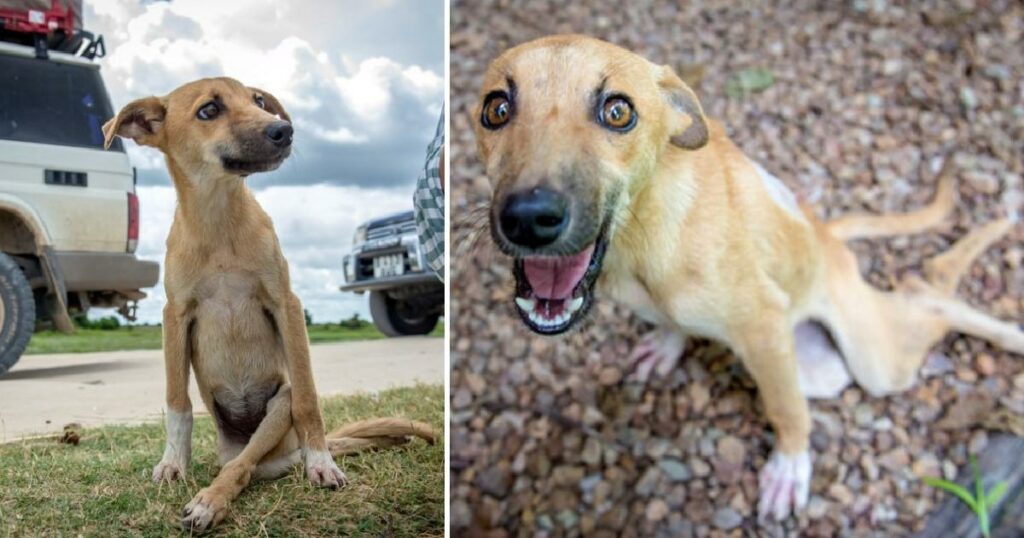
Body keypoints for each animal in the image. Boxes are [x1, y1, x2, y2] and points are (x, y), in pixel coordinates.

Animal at [103, 77, 436, 528]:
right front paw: (172, 463)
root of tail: (281, 454)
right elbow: (177, 401)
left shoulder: (286, 305)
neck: (219, 221)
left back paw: (213, 499)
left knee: (242, 467)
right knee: (236, 462)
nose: (284, 131)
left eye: (258, 100)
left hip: (278, 409)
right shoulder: (175, 314)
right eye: (209, 110)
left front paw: (322, 462)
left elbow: (310, 397)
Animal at [473, 34, 1024, 520]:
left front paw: (789, 468)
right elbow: (674, 323)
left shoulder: (763, 329)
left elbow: (786, 410)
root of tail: (826, 234)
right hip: (825, 369)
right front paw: (668, 345)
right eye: (496, 109)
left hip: (876, 362)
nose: (528, 218)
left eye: (617, 112)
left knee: (928, 290)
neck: (642, 237)